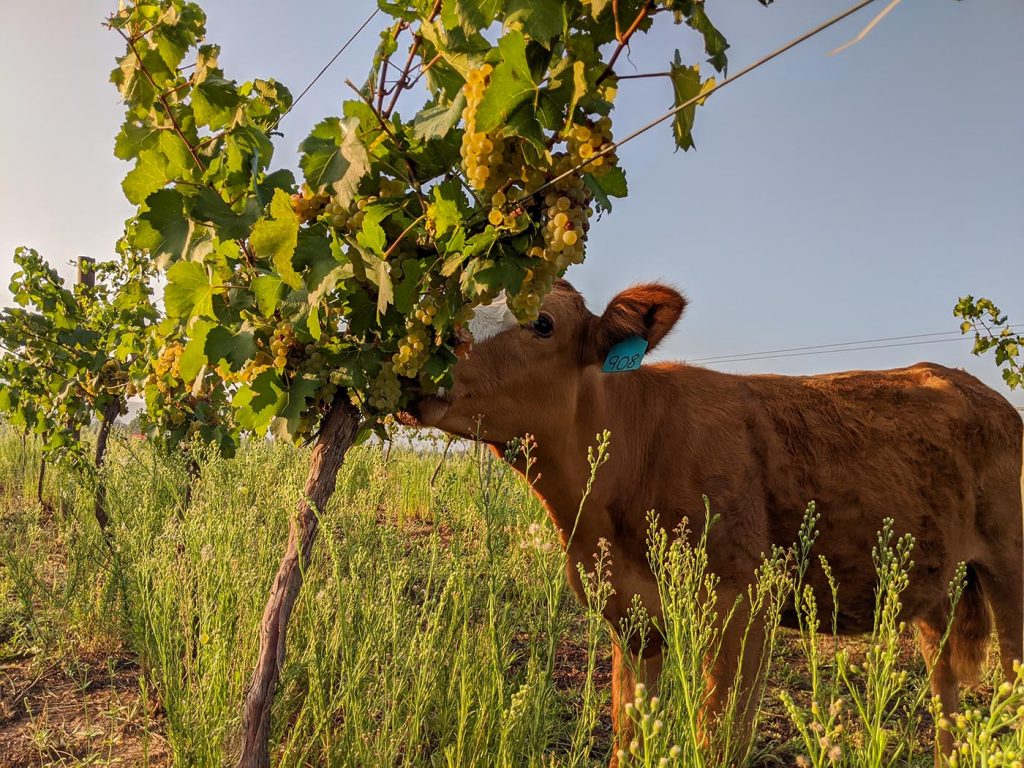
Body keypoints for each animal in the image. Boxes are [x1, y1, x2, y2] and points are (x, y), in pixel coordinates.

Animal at [407, 280, 1024, 761]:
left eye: (542, 323)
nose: (421, 359)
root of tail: (977, 389)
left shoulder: (743, 607)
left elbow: (717, 742)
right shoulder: (629, 616)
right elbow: (628, 739)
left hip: (1010, 569)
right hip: (933, 587)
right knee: (946, 695)